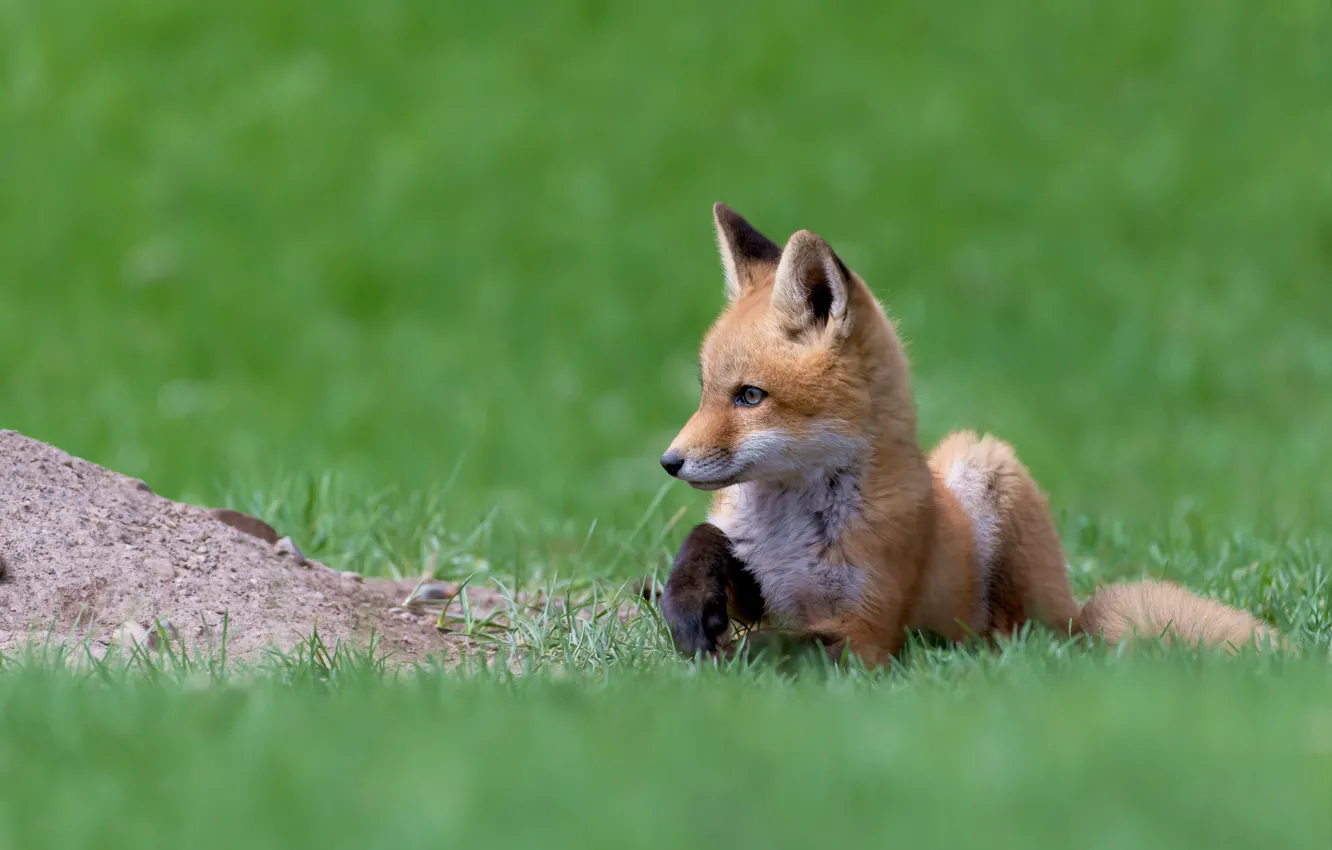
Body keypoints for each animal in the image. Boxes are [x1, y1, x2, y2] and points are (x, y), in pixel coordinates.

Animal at [656, 202, 1283, 667]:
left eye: (750, 396)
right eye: (706, 391)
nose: (670, 461)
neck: (789, 530)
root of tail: (1078, 610)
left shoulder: (865, 632)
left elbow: (784, 644)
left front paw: (730, 655)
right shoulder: (759, 580)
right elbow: (706, 540)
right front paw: (688, 607)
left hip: (983, 464)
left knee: (1012, 637)